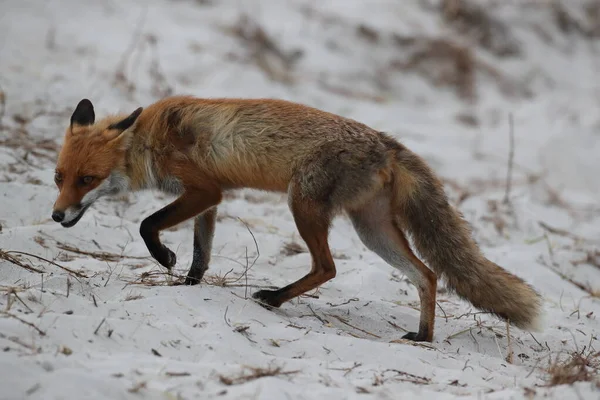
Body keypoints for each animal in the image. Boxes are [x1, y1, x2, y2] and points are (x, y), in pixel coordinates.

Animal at [52, 96, 544, 340]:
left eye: (87, 179)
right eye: (59, 176)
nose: (56, 215)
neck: (148, 139)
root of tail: (385, 142)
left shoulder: (205, 189)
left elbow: (147, 225)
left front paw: (163, 258)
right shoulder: (208, 199)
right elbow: (201, 255)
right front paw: (187, 286)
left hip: (303, 205)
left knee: (327, 267)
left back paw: (274, 298)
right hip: (372, 229)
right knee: (426, 274)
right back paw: (423, 337)